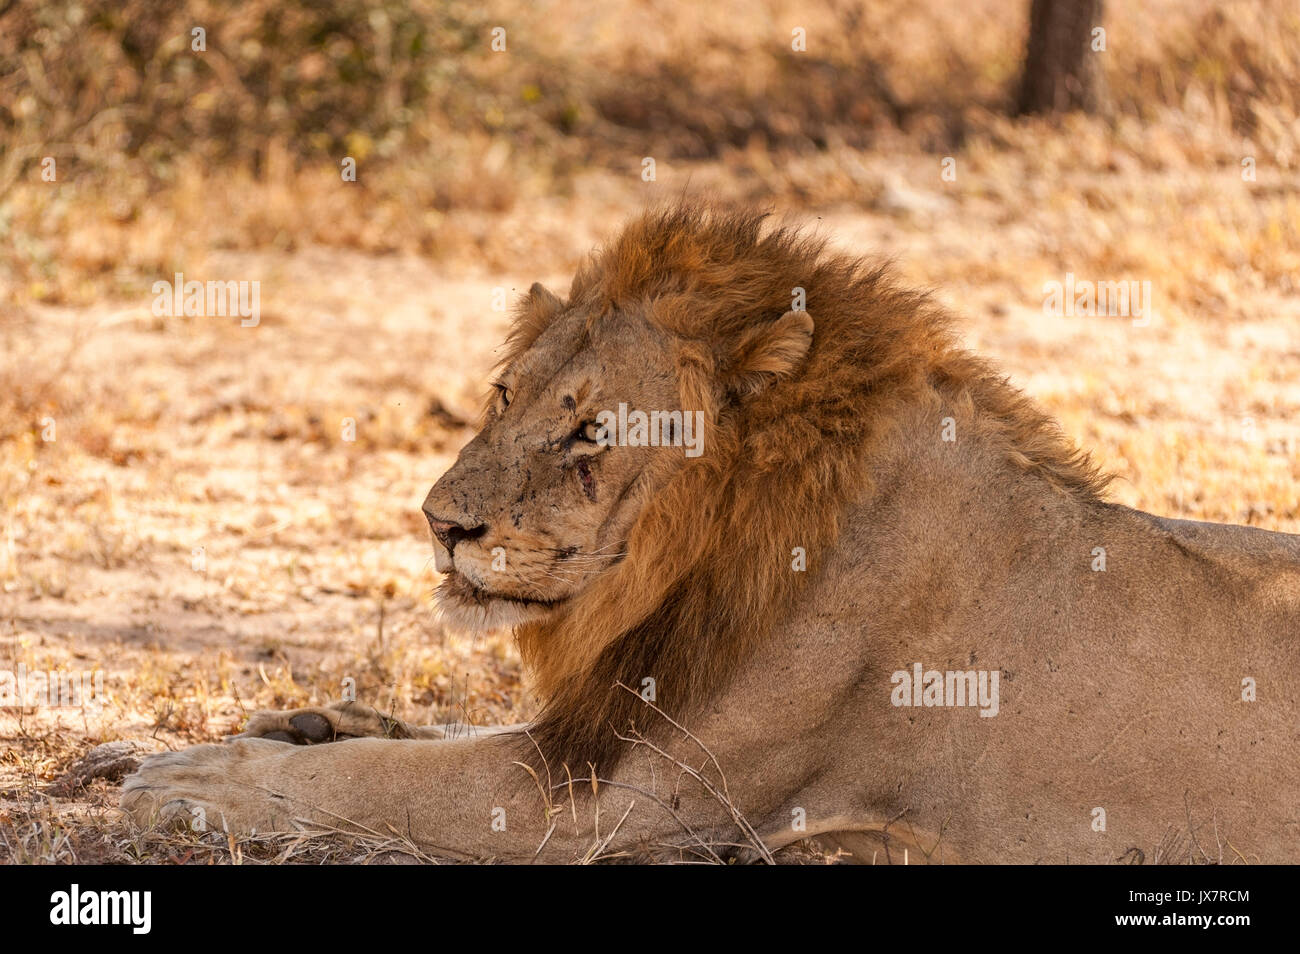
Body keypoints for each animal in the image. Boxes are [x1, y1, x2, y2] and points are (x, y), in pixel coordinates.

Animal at [122, 205, 1300, 863]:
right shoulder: (593, 729)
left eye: (591, 428)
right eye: (503, 396)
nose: (440, 524)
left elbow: (383, 783)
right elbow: (418, 735)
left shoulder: (613, 808)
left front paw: (196, 780)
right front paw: (298, 722)